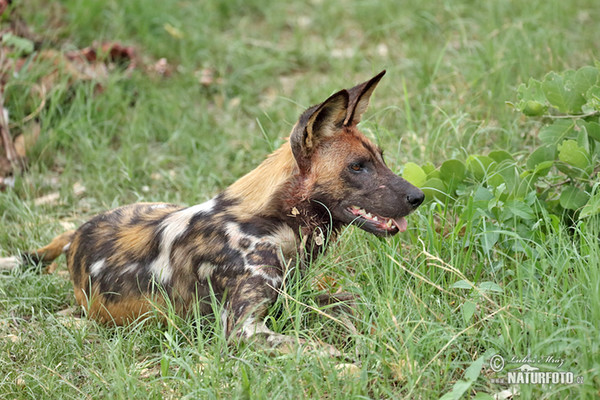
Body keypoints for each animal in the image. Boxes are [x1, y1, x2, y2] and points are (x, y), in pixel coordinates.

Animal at [3, 70, 426, 352]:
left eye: (381, 158)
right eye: (357, 167)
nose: (418, 197)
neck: (272, 224)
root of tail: (75, 234)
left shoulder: (293, 300)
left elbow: (352, 302)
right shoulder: (243, 329)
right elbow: (322, 352)